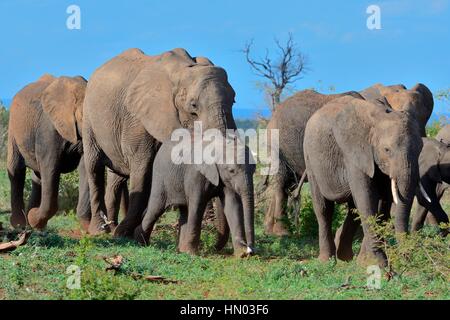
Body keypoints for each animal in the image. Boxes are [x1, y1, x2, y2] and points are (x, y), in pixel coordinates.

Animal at [7, 74, 128, 230]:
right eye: (85, 115)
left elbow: (85, 167)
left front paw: (86, 227)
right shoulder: (48, 128)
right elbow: (50, 167)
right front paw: (32, 217)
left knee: (37, 176)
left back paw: (34, 224)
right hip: (13, 129)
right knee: (16, 171)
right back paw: (20, 223)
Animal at [84, 48, 239, 238]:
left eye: (233, 101)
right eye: (193, 107)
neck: (183, 70)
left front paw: (130, 233)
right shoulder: (139, 120)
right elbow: (143, 172)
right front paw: (124, 235)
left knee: (117, 177)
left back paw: (111, 227)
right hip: (89, 118)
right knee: (94, 167)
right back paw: (99, 230)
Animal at [302, 96, 426, 266]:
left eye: (421, 148)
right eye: (387, 150)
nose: (407, 261)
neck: (379, 117)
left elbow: (382, 204)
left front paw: (366, 263)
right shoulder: (355, 153)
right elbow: (367, 198)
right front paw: (380, 264)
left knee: (353, 209)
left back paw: (345, 258)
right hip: (310, 159)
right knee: (323, 209)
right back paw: (327, 261)